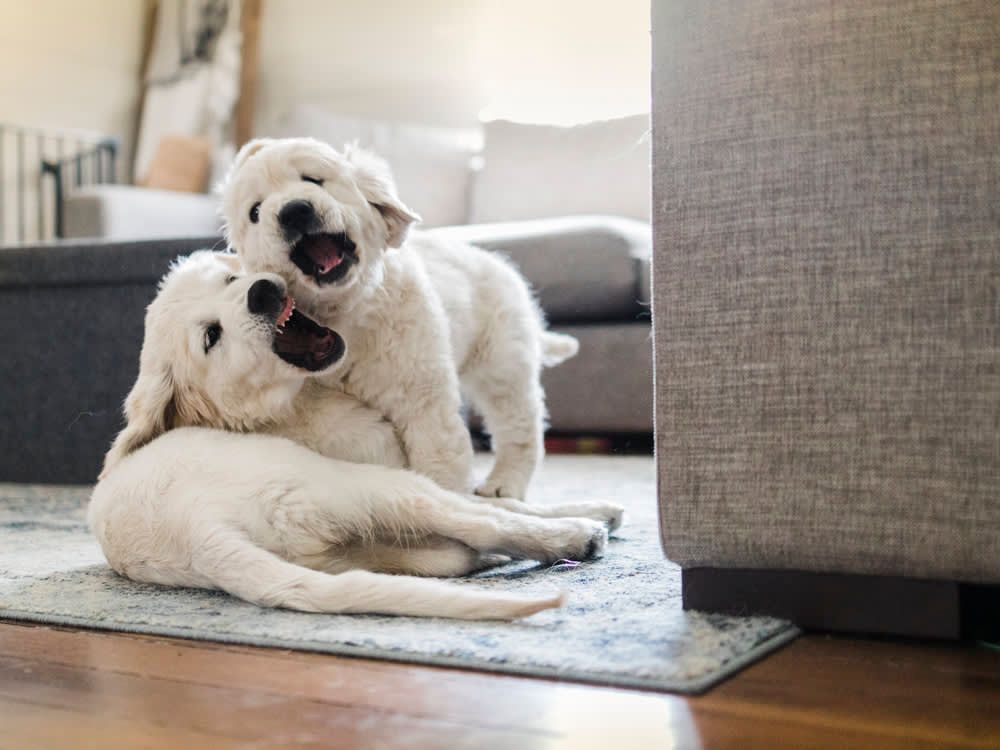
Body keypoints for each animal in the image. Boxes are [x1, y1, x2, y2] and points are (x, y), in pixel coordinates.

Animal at [221, 137, 580, 500]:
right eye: (255, 211)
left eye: (313, 180)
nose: (293, 211)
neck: (347, 309)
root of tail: (498, 263)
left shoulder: (422, 394)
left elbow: (439, 457)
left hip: (502, 362)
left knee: (520, 426)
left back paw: (504, 484)